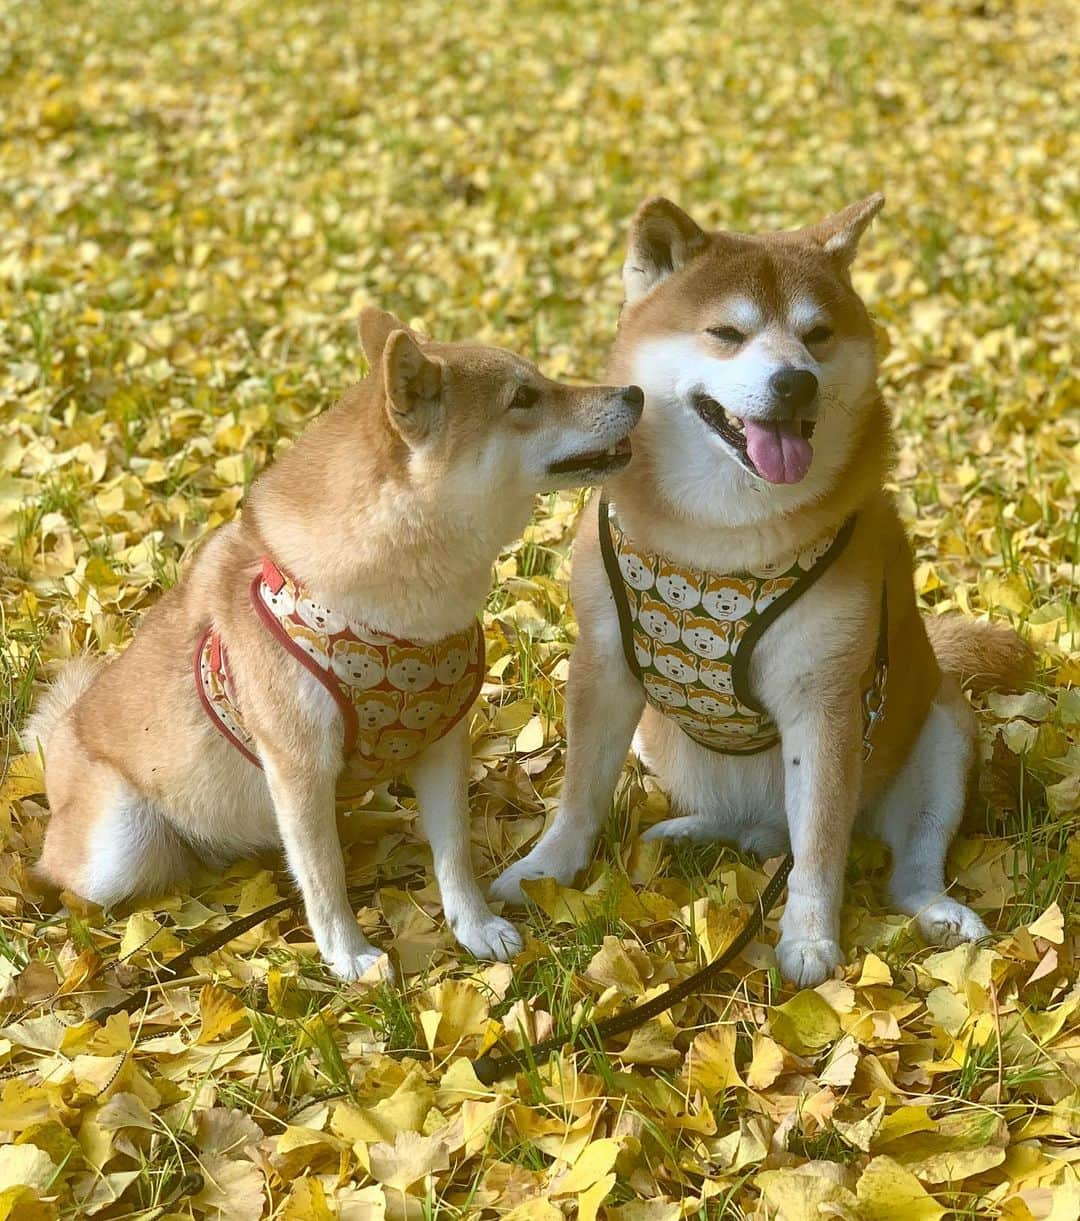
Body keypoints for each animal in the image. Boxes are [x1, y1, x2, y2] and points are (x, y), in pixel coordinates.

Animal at [27, 307, 639, 981]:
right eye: (524, 397)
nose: (634, 393)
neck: (404, 611)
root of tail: (61, 734)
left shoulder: (443, 741)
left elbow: (453, 851)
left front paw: (473, 927)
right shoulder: (297, 767)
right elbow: (325, 876)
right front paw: (349, 956)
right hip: (119, 848)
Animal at [493, 195, 1034, 986]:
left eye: (817, 335)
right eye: (726, 333)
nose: (795, 381)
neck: (719, 536)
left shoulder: (828, 701)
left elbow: (819, 848)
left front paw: (810, 939)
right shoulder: (604, 666)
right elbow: (580, 794)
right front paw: (546, 871)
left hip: (939, 733)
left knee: (899, 863)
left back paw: (935, 909)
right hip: (658, 739)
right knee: (730, 815)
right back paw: (688, 830)